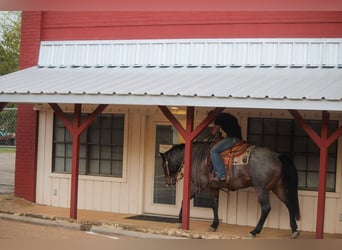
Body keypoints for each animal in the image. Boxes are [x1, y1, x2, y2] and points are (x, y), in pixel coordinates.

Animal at [159, 141, 300, 238]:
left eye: (163, 165)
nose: (168, 182)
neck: (196, 156)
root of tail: (277, 155)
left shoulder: (198, 186)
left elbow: (185, 200)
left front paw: (179, 221)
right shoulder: (213, 187)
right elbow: (214, 205)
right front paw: (214, 225)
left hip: (261, 189)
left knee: (266, 208)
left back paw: (254, 231)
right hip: (278, 187)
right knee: (289, 203)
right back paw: (294, 230)